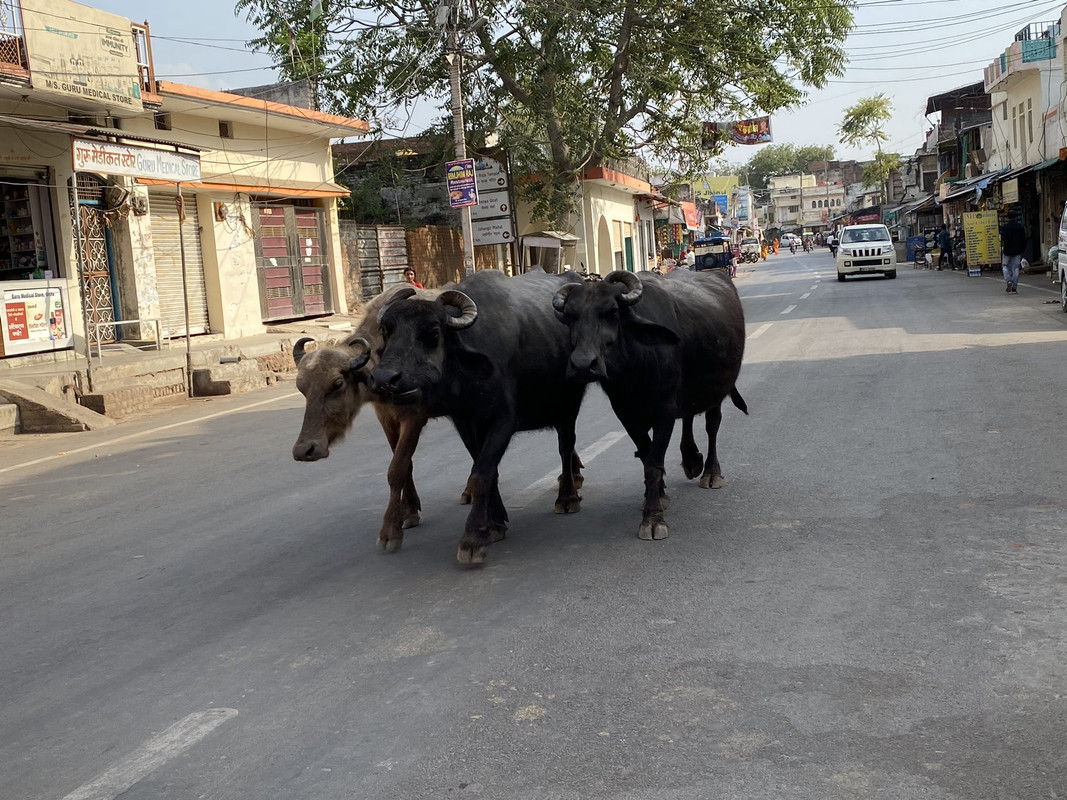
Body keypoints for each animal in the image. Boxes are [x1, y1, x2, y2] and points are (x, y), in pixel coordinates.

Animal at [371, 267, 588, 563]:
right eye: (386, 331)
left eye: (433, 333)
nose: (385, 379)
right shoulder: (466, 423)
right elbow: (486, 470)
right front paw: (494, 523)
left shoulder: (504, 420)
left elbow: (481, 474)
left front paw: (473, 537)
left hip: (568, 404)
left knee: (565, 447)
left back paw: (567, 497)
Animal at [554, 273, 746, 541]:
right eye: (571, 316)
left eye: (612, 312)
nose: (582, 365)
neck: (635, 367)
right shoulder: (626, 413)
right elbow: (647, 455)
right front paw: (657, 497)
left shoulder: (664, 411)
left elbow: (654, 464)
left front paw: (653, 518)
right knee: (688, 415)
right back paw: (691, 459)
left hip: (717, 392)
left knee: (712, 425)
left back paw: (711, 472)